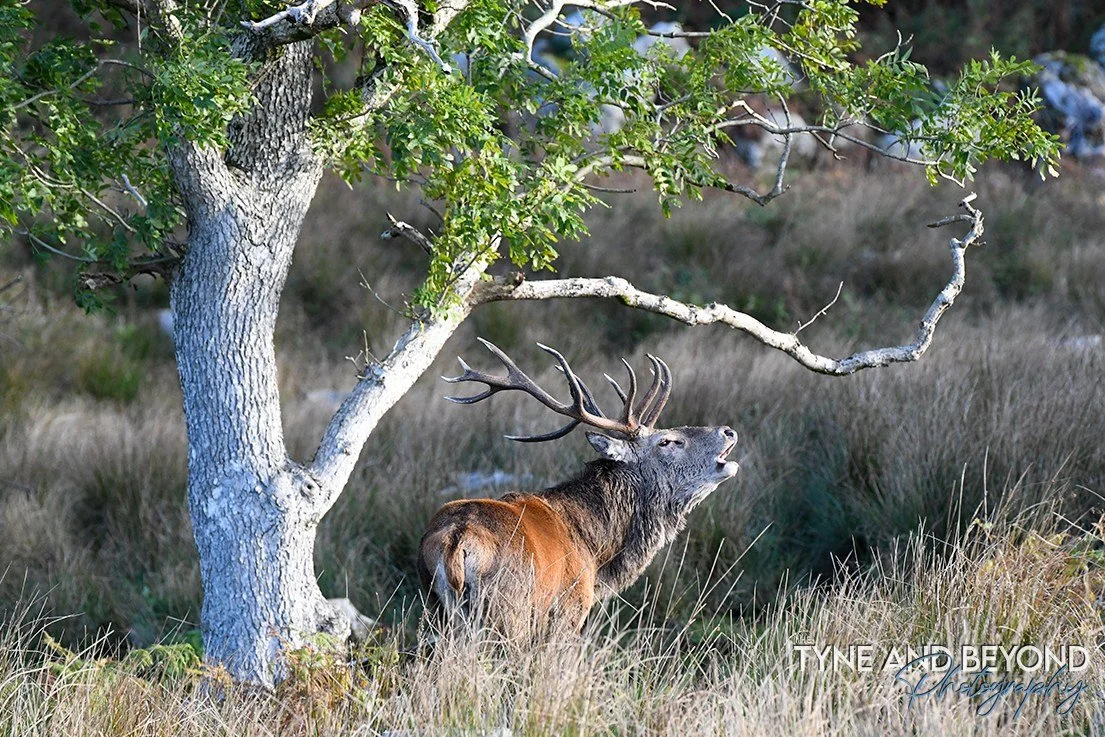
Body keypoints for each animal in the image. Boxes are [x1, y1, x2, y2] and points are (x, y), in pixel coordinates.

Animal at [417, 339, 740, 639]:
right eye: (667, 441)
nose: (728, 431)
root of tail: (456, 540)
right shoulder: (570, 608)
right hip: (510, 610)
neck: (597, 550)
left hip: (436, 609)